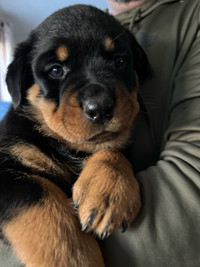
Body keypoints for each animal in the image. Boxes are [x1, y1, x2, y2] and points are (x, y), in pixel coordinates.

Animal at [0, 4, 149, 267]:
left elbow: (110, 148)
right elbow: (43, 201)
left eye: (120, 61)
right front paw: (73, 258)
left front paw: (108, 189)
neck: (66, 147)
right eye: (56, 70)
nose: (100, 106)